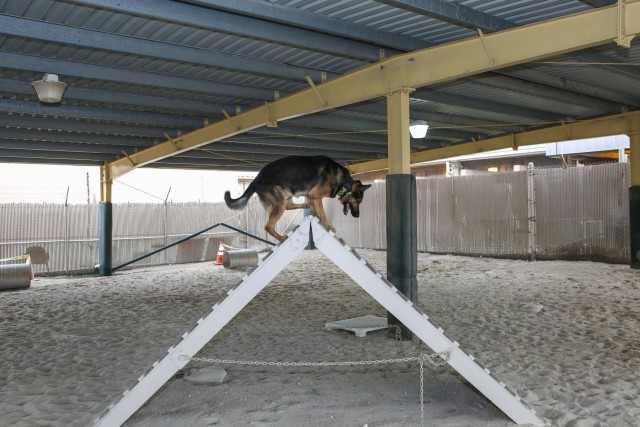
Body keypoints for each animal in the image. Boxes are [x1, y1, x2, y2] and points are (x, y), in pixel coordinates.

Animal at [225, 155, 372, 242]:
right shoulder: (315, 195)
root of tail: (255, 180)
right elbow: (323, 213)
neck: (343, 182)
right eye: (358, 201)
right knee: (268, 226)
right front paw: (328, 225)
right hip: (280, 202)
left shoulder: (311, 196)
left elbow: (317, 209)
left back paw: (306, 206)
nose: (357, 216)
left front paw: (314, 213)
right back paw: (281, 237)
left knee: (290, 206)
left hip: (286, 196)